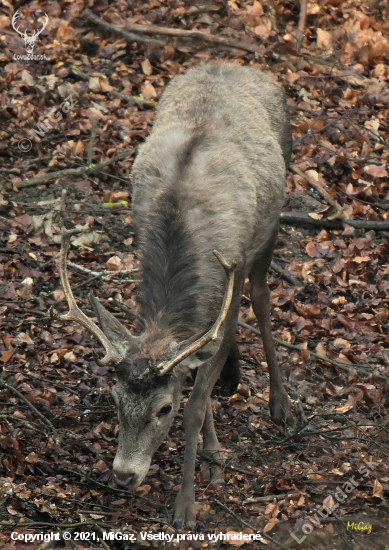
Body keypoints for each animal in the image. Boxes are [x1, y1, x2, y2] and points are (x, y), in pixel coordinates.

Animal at [56, 61, 292, 532]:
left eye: (164, 409)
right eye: (114, 399)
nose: (124, 475)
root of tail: (234, 64)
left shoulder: (231, 280)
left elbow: (197, 402)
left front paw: (189, 502)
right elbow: (196, 371)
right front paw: (212, 455)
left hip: (271, 225)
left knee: (262, 300)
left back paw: (280, 404)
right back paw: (234, 376)